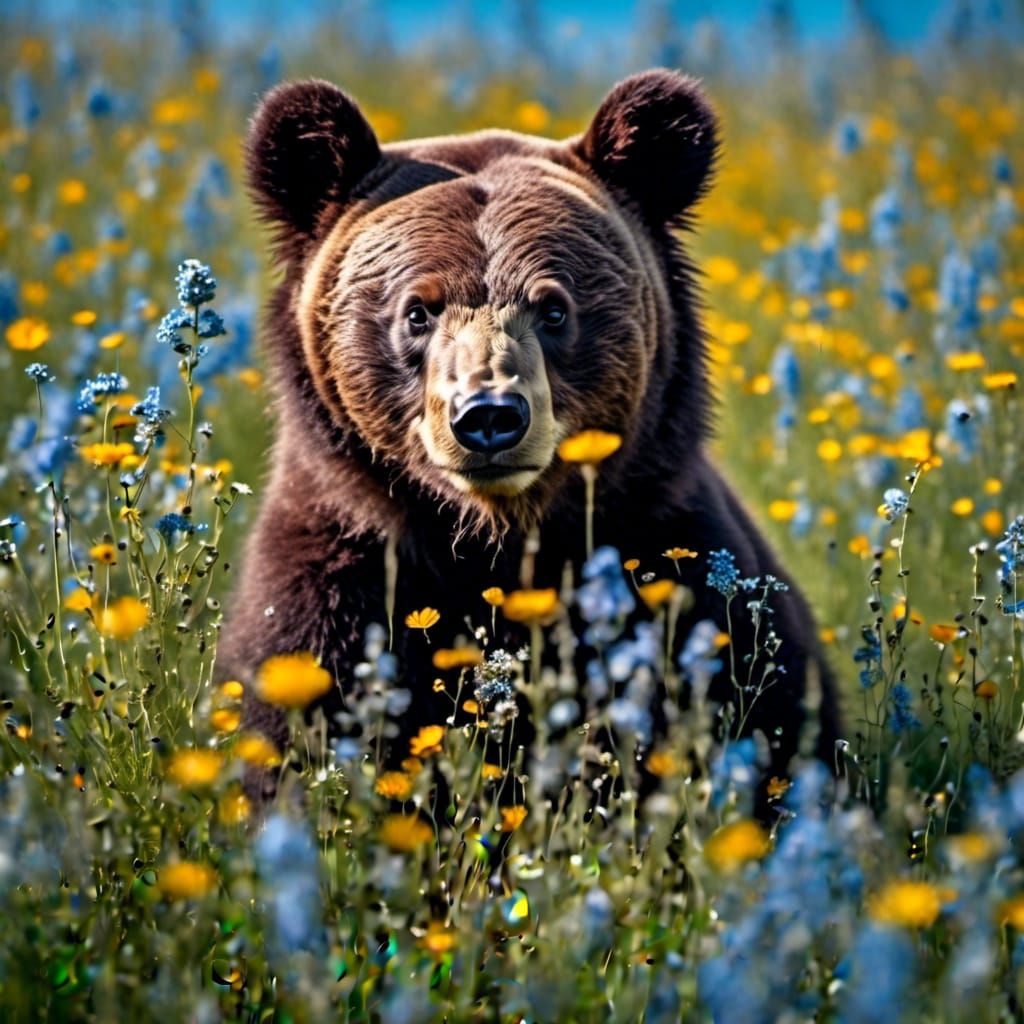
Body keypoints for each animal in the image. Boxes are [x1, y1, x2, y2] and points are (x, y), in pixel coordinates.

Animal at [217, 69, 842, 807]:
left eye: (554, 308)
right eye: (418, 310)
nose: (489, 416)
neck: (495, 548)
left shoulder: (677, 567)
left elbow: (761, 714)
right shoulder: (340, 580)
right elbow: (294, 733)